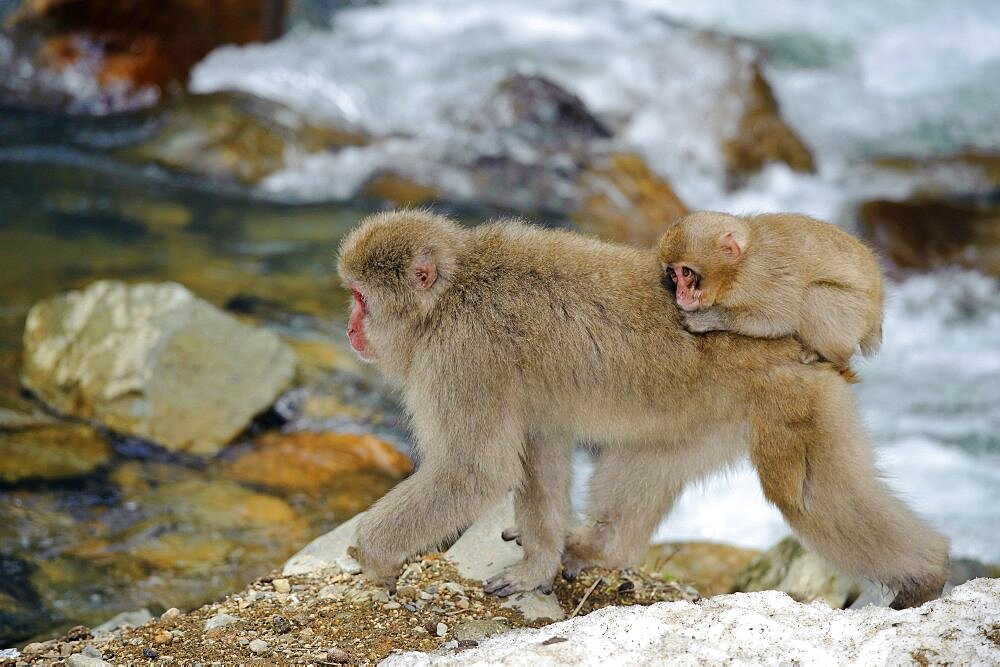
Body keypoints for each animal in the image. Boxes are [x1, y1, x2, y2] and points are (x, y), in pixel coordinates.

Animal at [656, 211, 884, 368]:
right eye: (673, 275)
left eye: (686, 272)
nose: (680, 293)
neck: (737, 268)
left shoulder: (758, 275)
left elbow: (780, 318)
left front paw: (709, 318)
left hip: (855, 316)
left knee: (815, 295)